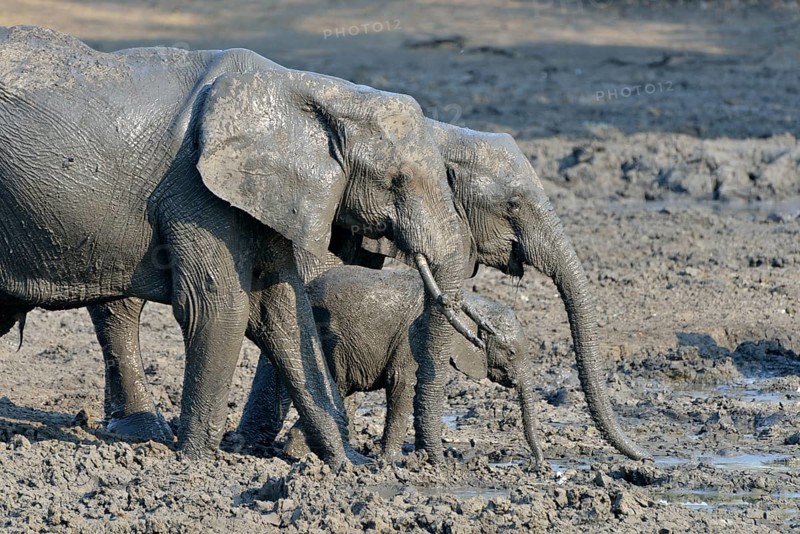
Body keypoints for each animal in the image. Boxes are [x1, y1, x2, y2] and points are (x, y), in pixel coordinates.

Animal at [0, 26, 481, 463]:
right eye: (396, 180)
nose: (432, 462)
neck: (308, 90)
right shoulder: (195, 191)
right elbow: (220, 307)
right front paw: (194, 464)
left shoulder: (264, 197)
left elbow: (284, 310)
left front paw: (347, 465)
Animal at [250, 265, 546, 465]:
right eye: (510, 353)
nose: (538, 464)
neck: (468, 301)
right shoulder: (411, 339)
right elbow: (402, 384)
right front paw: (392, 462)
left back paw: (299, 452)